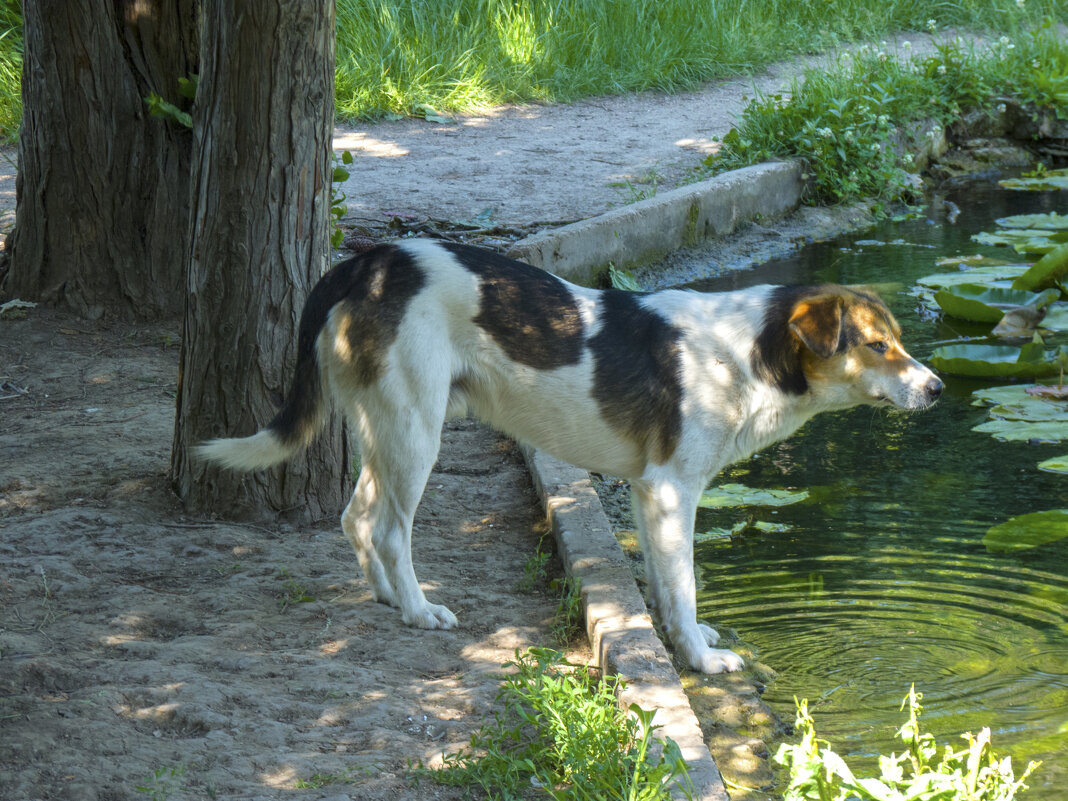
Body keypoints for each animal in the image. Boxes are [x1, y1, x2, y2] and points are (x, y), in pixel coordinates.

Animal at [198, 240, 944, 679]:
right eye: (877, 346)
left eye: (900, 342)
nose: (937, 388)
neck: (749, 352)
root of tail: (370, 260)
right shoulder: (674, 491)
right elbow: (684, 584)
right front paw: (701, 660)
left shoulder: (650, 494)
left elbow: (669, 589)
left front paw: (683, 640)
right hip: (415, 433)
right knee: (387, 528)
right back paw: (417, 610)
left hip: (383, 427)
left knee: (356, 518)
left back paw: (384, 596)